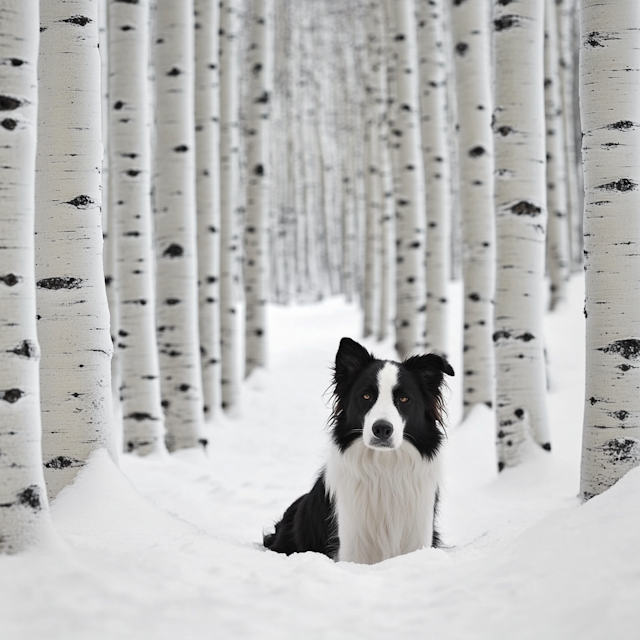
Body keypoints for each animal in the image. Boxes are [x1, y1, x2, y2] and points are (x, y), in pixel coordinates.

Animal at [264, 338, 456, 564]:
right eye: (366, 396)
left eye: (404, 399)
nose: (382, 429)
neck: (385, 469)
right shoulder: (352, 546)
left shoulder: (418, 536)